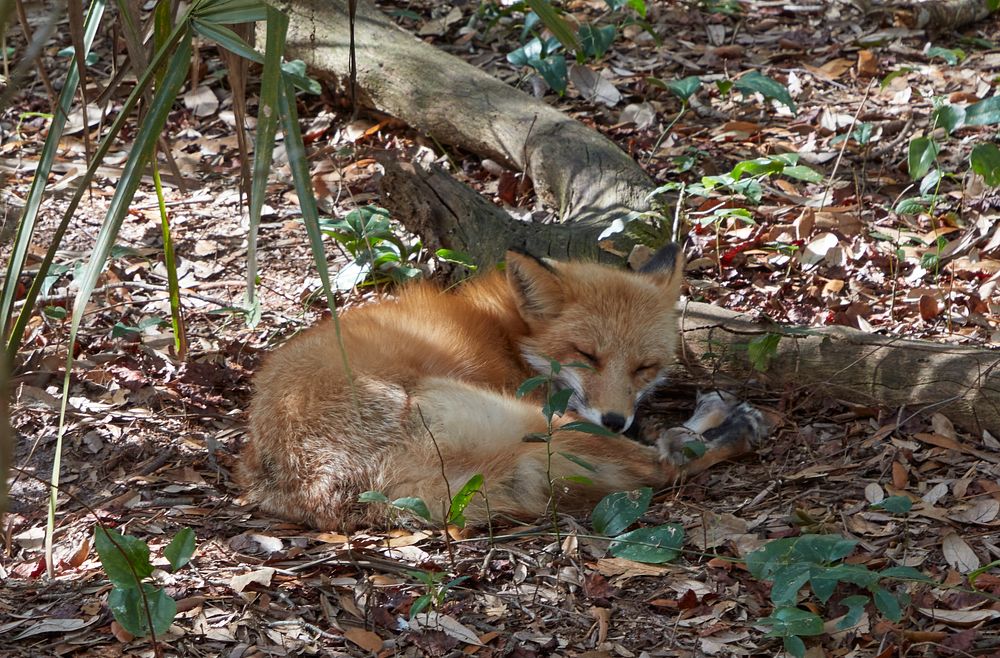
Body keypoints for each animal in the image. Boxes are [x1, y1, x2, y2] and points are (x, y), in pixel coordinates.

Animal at [236, 242, 764, 528]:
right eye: (587, 355)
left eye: (644, 367)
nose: (616, 418)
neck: (508, 330)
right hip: (536, 423)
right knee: (665, 462)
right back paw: (727, 427)